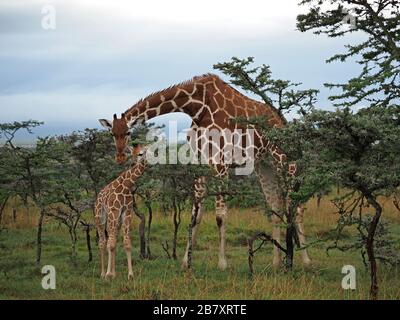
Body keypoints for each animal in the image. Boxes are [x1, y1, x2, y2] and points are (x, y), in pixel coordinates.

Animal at [94, 146, 147, 280]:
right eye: (134, 153)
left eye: (142, 152)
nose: (134, 162)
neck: (127, 185)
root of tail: (97, 197)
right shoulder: (114, 211)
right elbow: (110, 244)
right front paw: (108, 274)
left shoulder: (127, 212)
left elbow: (126, 243)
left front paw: (130, 274)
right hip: (100, 218)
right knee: (103, 242)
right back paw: (103, 273)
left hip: (116, 221)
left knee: (113, 239)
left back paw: (114, 273)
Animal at [98, 73, 310, 270]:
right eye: (112, 133)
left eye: (127, 132)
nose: (119, 157)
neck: (197, 107)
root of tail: (282, 121)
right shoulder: (199, 163)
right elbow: (195, 215)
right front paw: (186, 262)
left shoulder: (220, 163)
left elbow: (220, 215)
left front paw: (222, 263)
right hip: (264, 165)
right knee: (276, 206)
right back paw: (276, 262)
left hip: (284, 159)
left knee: (297, 206)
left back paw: (306, 260)